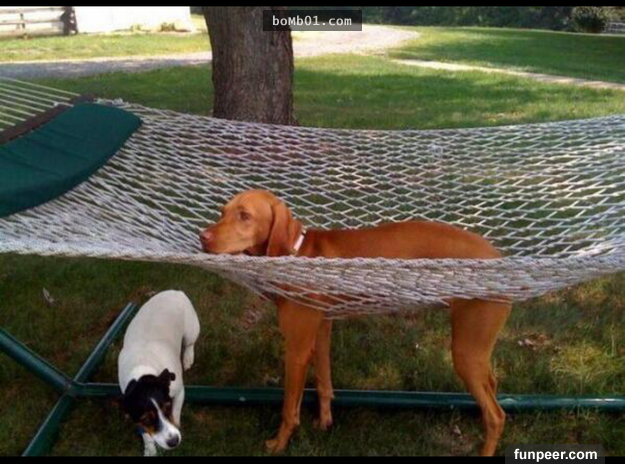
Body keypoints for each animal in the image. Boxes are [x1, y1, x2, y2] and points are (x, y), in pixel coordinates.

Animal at [118, 290, 200, 457]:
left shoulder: (180, 391)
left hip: (191, 330)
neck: (142, 370)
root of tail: (175, 291)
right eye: (146, 419)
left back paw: (188, 356)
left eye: (167, 407)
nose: (174, 441)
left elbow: (176, 412)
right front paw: (150, 447)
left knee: (190, 343)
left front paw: (177, 424)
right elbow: (145, 432)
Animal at [200, 189, 511, 456]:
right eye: (223, 211)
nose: (202, 237)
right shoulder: (321, 330)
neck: (297, 253)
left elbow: (289, 408)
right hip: (476, 349)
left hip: (466, 350)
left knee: (496, 415)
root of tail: (497, 255)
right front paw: (324, 422)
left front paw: (279, 443)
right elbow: (324, 381)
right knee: (492, 388)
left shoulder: (297, 349)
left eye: (245, 215)